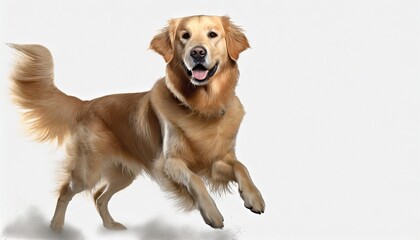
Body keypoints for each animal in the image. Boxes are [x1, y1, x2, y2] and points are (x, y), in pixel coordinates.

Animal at [8, 14, 264, 231]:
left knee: (98, 197)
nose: (198, 53)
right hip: (87, 171)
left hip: (124, 174)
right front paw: (212, 213)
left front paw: (253, 197)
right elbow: (195, 179)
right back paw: (56, 226)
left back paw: (110, 226)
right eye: (185, 35)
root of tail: (87, 103)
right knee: (65, 191)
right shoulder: (169, 162)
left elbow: (241, 166)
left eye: (213, 34)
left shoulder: (217, 161)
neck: (201, 107)